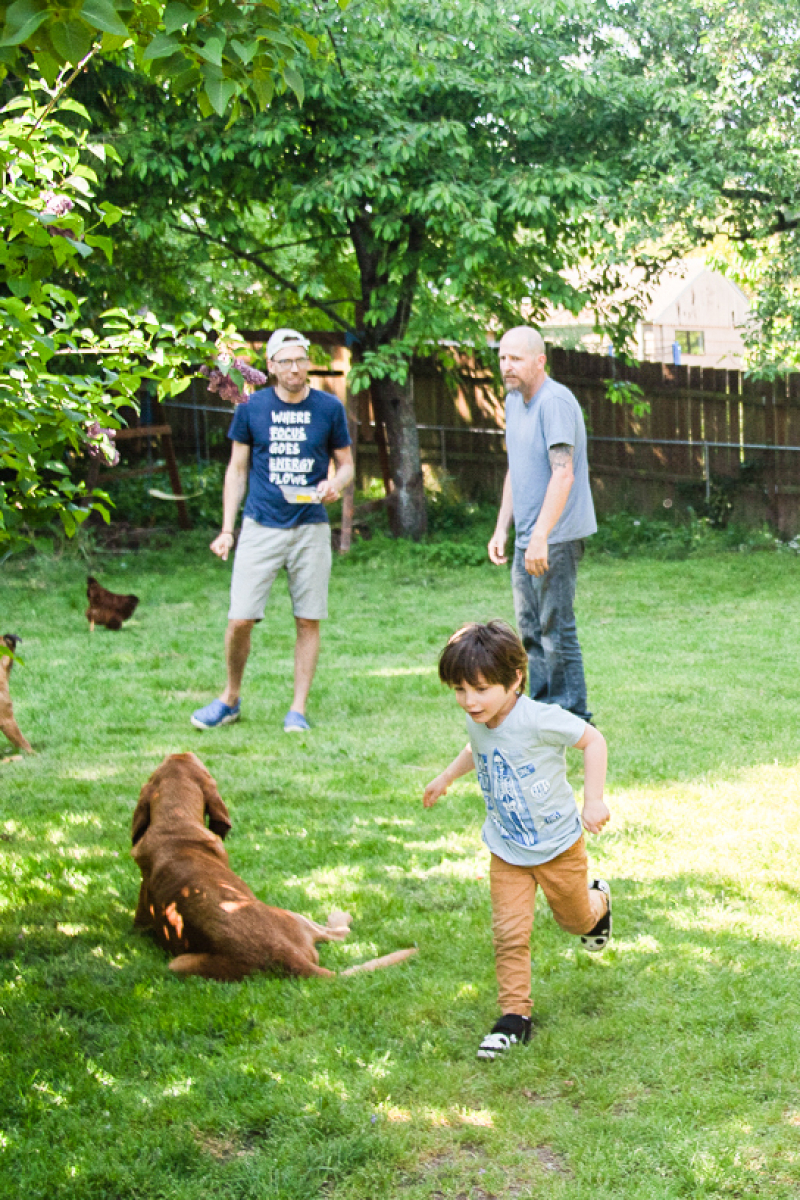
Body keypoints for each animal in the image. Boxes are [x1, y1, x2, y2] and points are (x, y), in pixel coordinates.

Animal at [130, 753, 419, 979]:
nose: (181, 752)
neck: (175, 824)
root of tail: (282, 954)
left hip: (178, 963)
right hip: (293, 916)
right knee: (340, 932)